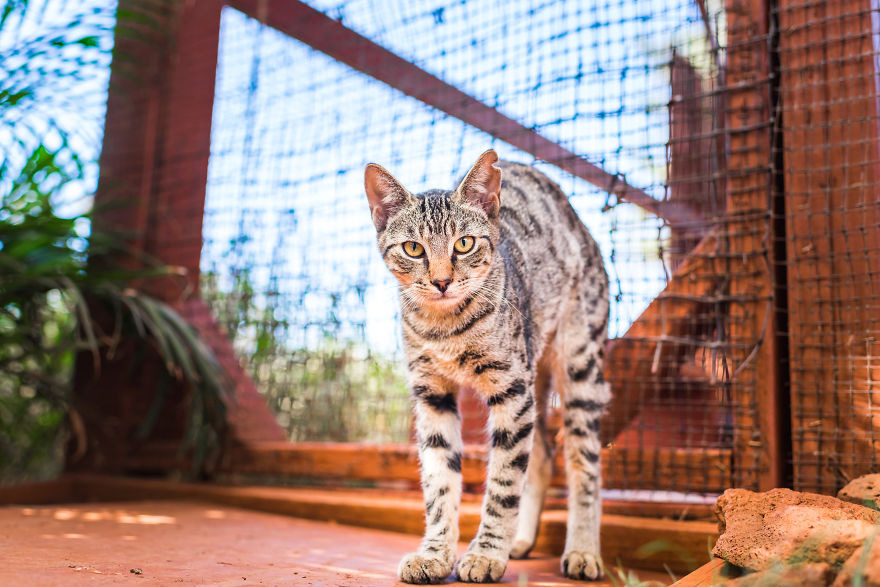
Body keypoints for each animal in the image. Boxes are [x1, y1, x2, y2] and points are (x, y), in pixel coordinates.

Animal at [364, 150, 612, 584]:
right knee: (543, 454)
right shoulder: (432, 394)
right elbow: (439, 482)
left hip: (580, 365)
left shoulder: (512, 391)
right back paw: (523, 540)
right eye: (412, 248)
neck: (445, 329)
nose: (442, 281)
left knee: (584, 463)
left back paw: (582, 549)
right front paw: (435, 554)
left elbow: (503, 482)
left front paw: (485, 553)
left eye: (464, 244)